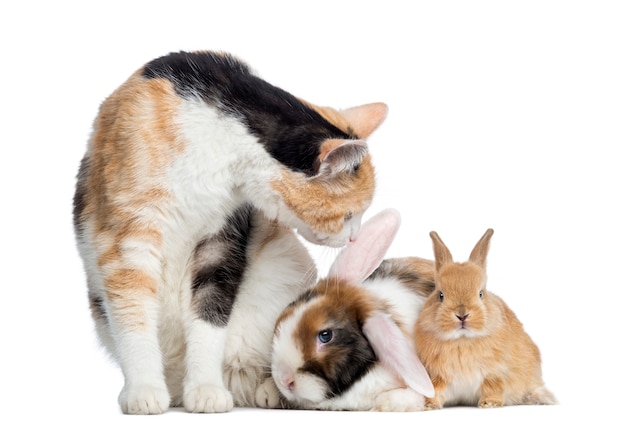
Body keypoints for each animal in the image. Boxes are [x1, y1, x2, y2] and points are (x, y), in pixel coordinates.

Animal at [72, 48, 386, 412]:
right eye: (350, 214)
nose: (354, 237)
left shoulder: (223, 236)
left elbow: (211, 314)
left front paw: (205, 388)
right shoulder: (128, 238)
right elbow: (133, 316)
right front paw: (144, 390)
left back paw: (268, 389)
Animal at [414, 227, 556, 408]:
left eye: (481, 293)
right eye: (440, 295)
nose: (462, 315)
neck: (462, 340)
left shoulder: (494, 374)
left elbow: (493, 388)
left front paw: (489, 403)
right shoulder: (437, 376)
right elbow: (436, 390)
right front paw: (429, 405)